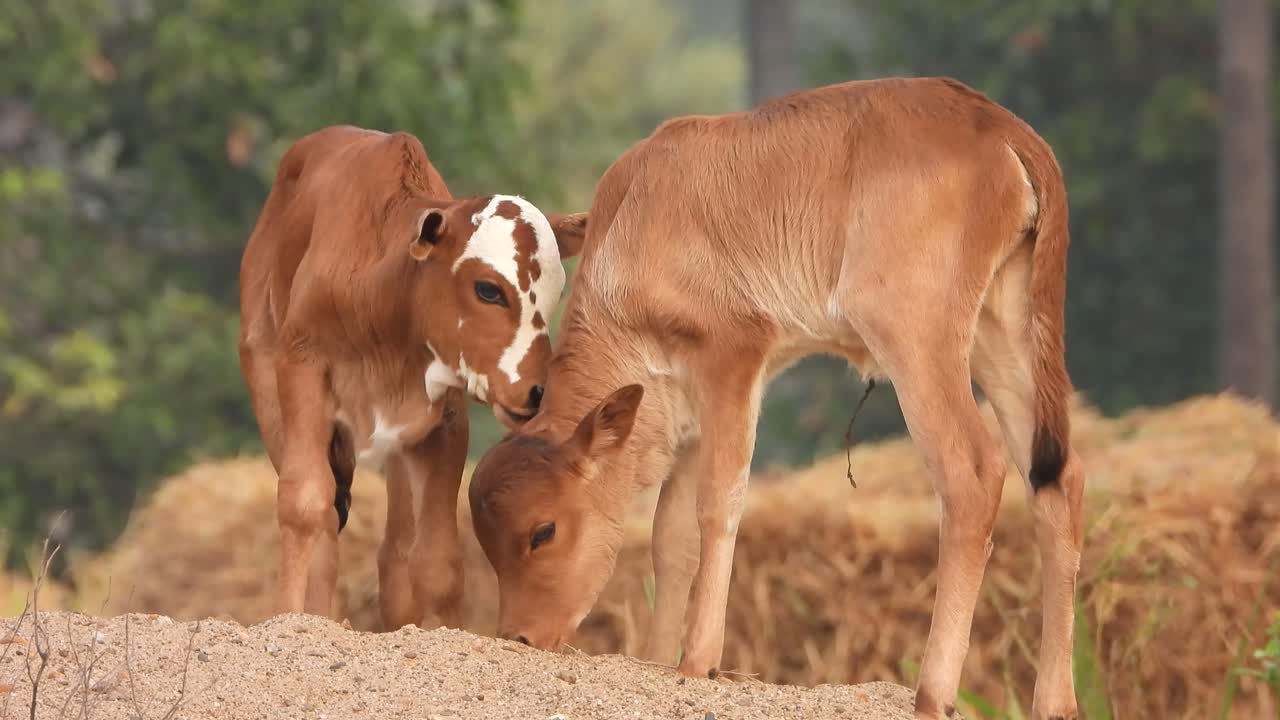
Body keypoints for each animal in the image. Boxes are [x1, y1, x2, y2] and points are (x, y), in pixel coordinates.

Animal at [238, 125, 587, 631]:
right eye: (488, 289)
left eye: (555, 291)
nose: (539, 390)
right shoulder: (301, 370)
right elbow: (305, 505)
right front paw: (289, 617)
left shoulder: (443, 419)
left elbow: (436, 559)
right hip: (266, 382)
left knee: (397, 551)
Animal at [467, 78, 1085, 720]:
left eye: (543, 532)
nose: (520, 636)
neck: (633, 216)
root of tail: (993, 121)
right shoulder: (685, 412)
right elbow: (670, 538)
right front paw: (660, 662)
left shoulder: (733, 360)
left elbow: (718, 504)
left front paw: (698, 660)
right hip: (1002, 336)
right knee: (1056, 483)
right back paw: (1054, 700)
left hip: (915, 338)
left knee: (975, 474)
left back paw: (934, 690)